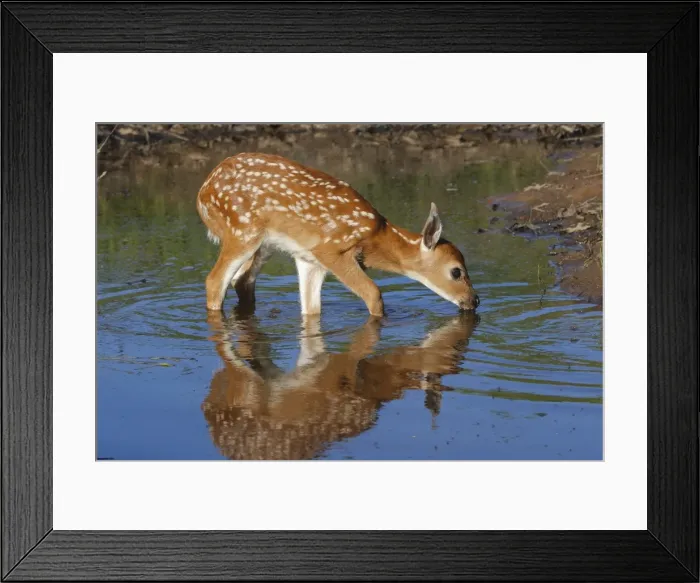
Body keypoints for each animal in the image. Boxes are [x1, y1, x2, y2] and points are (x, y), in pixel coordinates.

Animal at [196, 152, 479, 317]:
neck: (376, 239)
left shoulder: (309, 260)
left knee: (242, 281)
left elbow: (311, 311)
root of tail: (203, 192)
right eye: (456, 271)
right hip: (242, 230)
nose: (474, 300)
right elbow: (374, 294)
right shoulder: (330, 249)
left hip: (264, 244)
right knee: (215, 281)